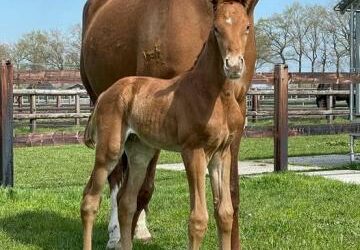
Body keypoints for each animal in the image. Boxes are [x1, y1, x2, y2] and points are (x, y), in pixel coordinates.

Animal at [80, 0, 258, 248]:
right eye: (216, 29)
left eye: (247, 27)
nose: (233, 66)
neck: (211, 92)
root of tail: (107, 93)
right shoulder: (193, 151)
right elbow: (198, 219)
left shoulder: (221, 153)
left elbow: (225, 212)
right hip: (110, 150)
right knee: (92, 198)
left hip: (140, 152)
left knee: (127, 201)